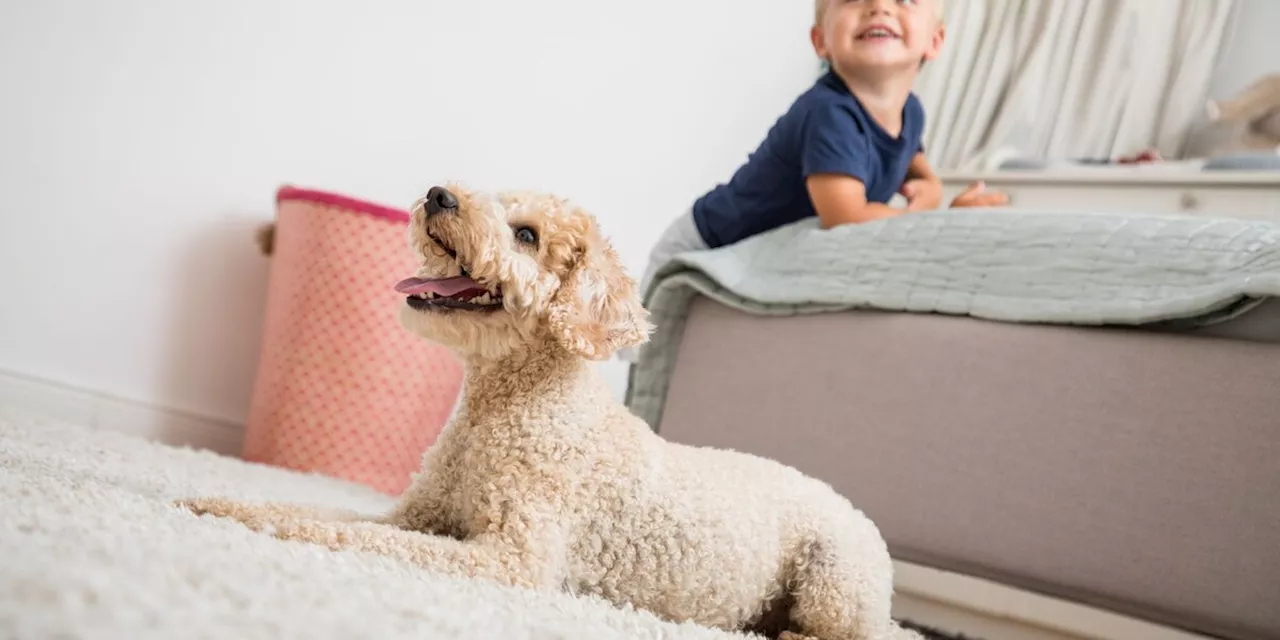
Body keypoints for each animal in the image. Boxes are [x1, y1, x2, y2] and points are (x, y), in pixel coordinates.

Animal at [180, 185, 921, 640]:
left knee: (875, 633)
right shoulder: (415, 515)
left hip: (834, 585)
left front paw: (268, 527)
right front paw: (215, 504)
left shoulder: (512, 557)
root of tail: (858, 513)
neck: (506, 407)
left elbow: (340, 534)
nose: (440, 193)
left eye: (527, 236)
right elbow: (317, 511)